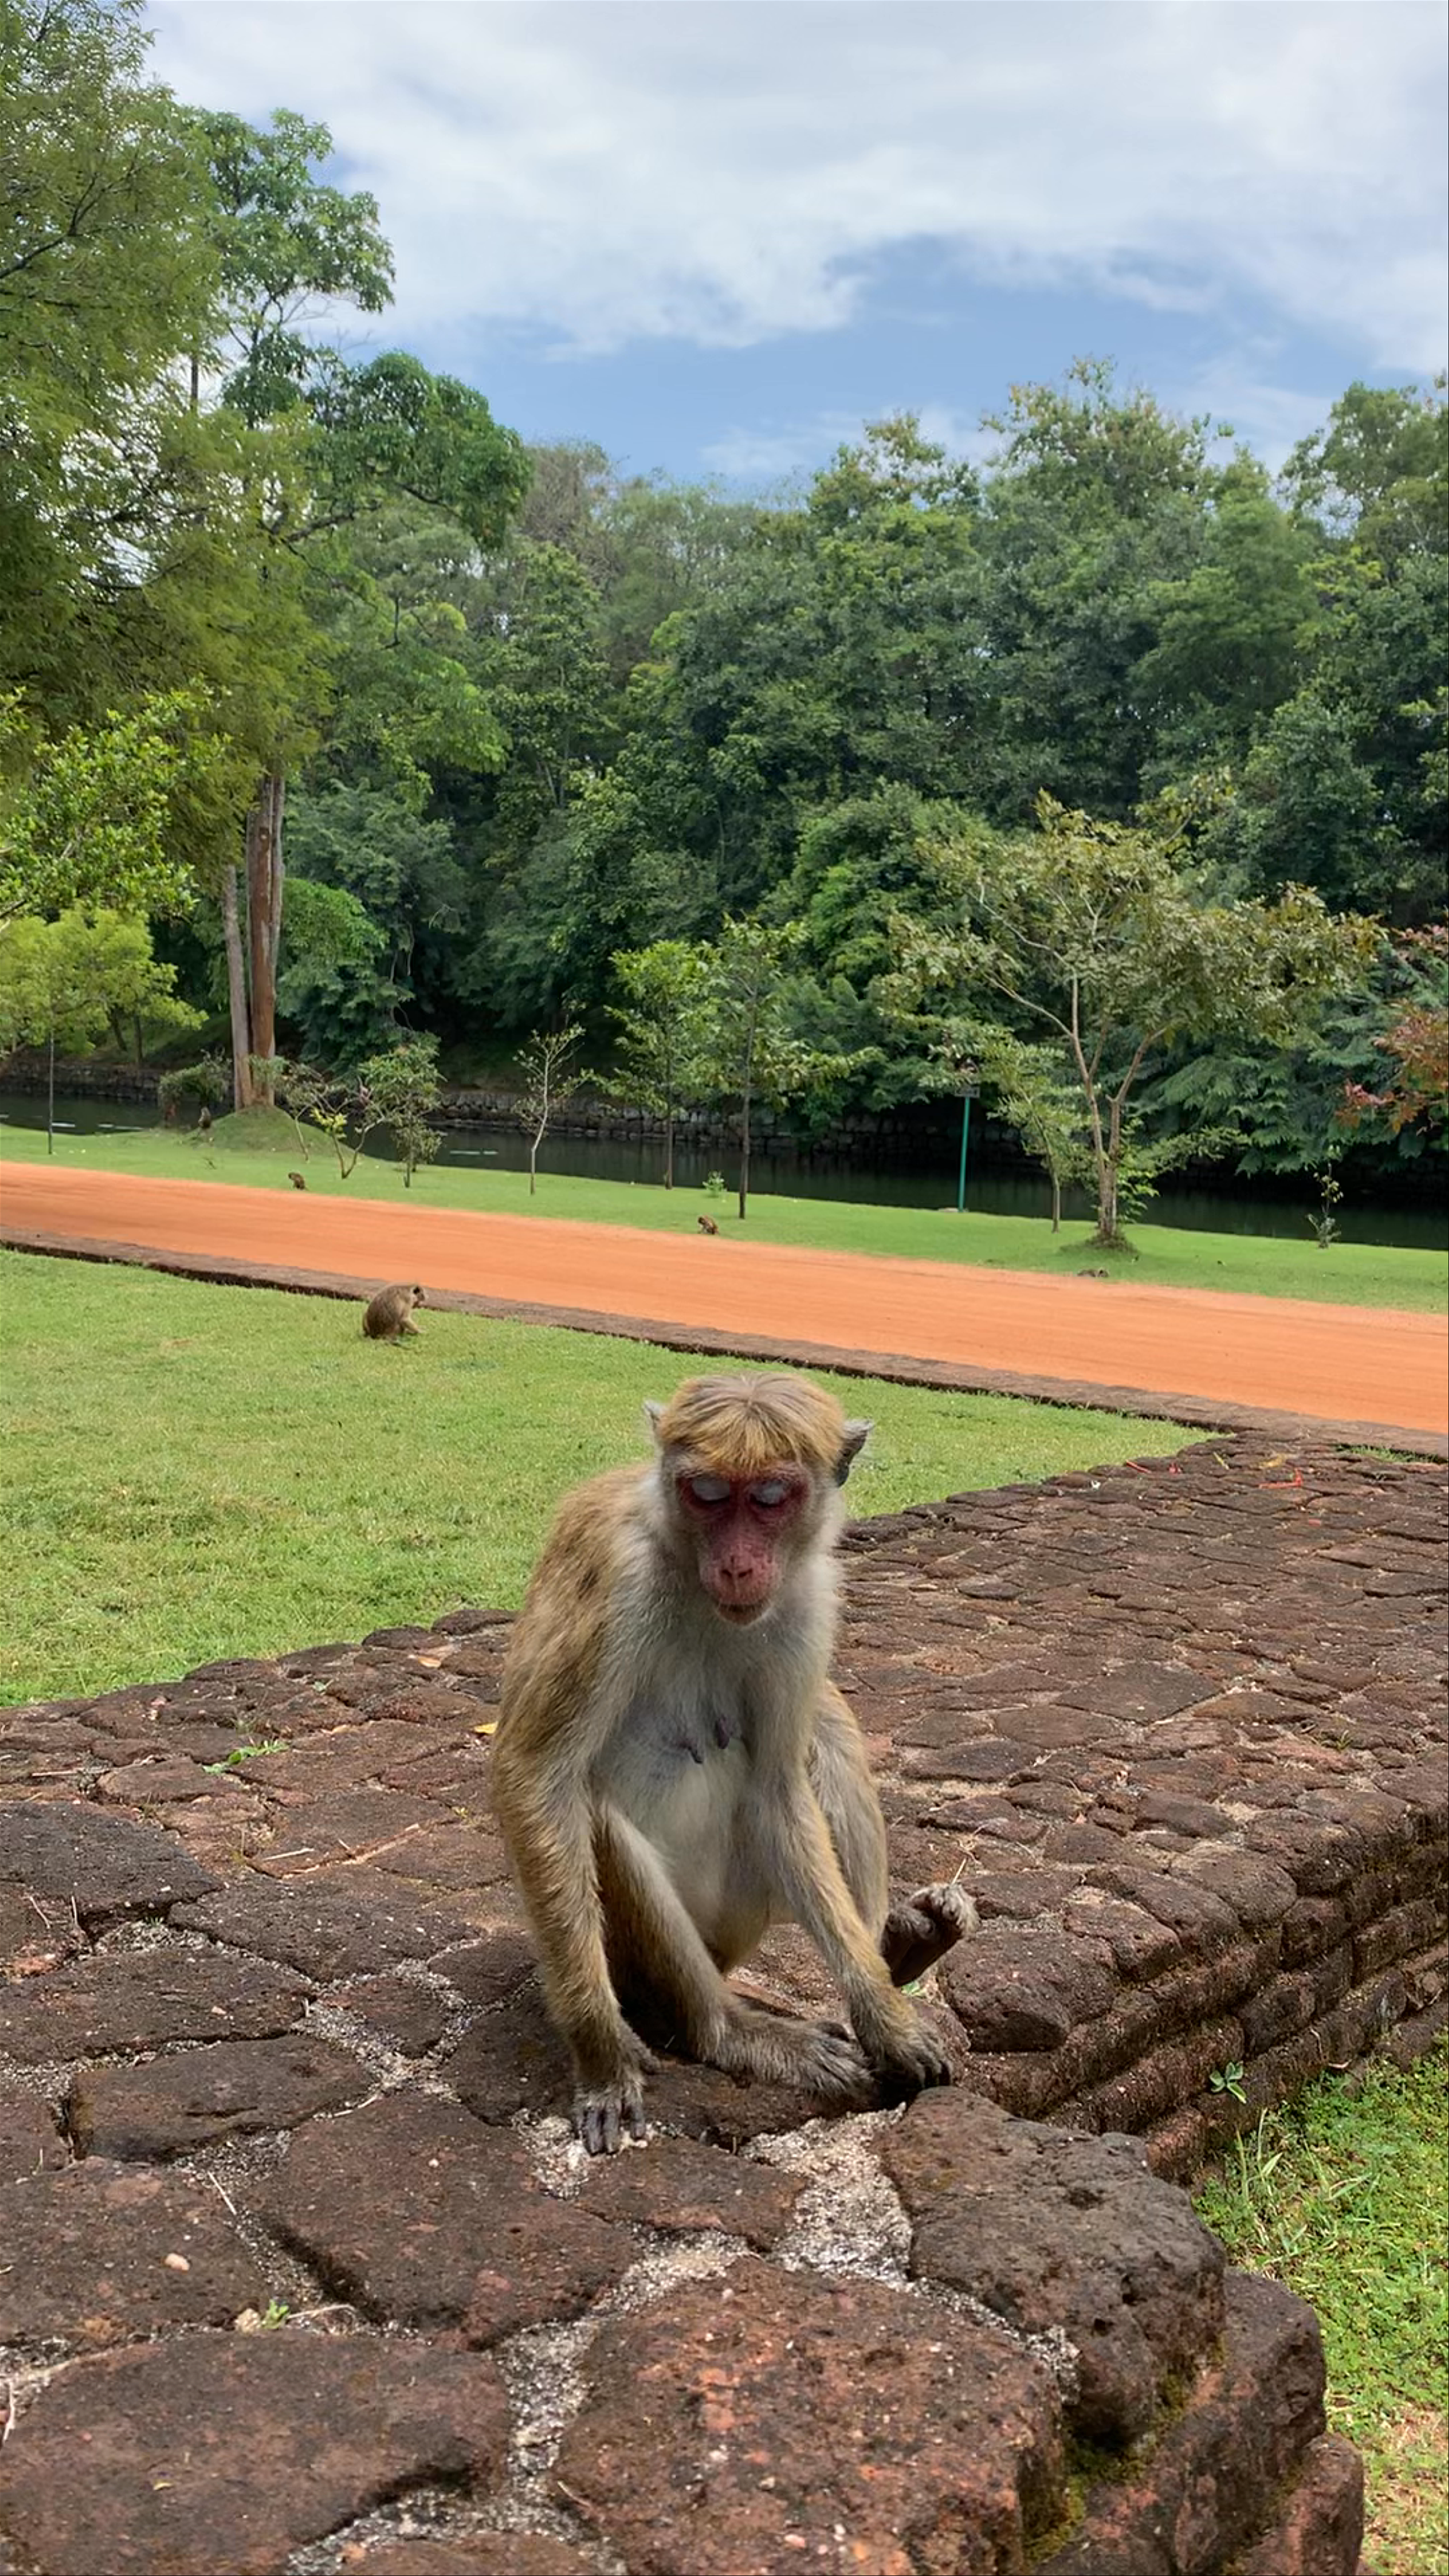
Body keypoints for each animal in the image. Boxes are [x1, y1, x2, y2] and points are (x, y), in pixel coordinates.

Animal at [361, 1283, 426, 1341]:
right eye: (419, 1301)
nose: (416, 1305)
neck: (409, 1290)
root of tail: (374, 1334)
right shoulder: (408, 1300)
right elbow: (404, 1319)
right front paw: (419, 1331)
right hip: (391, 1332)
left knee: (365, 1314)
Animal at [492, 1371, 976, 2154]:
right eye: (710, 1493)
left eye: (771, 1497)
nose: (740, 1562)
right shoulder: (618, 1575)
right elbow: (536, 1776)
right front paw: (601, 2055)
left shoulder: (809, 1600)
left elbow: (778, 1787)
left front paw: (885, 2017)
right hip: (641, 1959)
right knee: (597, 1820)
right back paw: (722, 2029)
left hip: (741, 1921)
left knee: (826, 1729)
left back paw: (902, 1947)